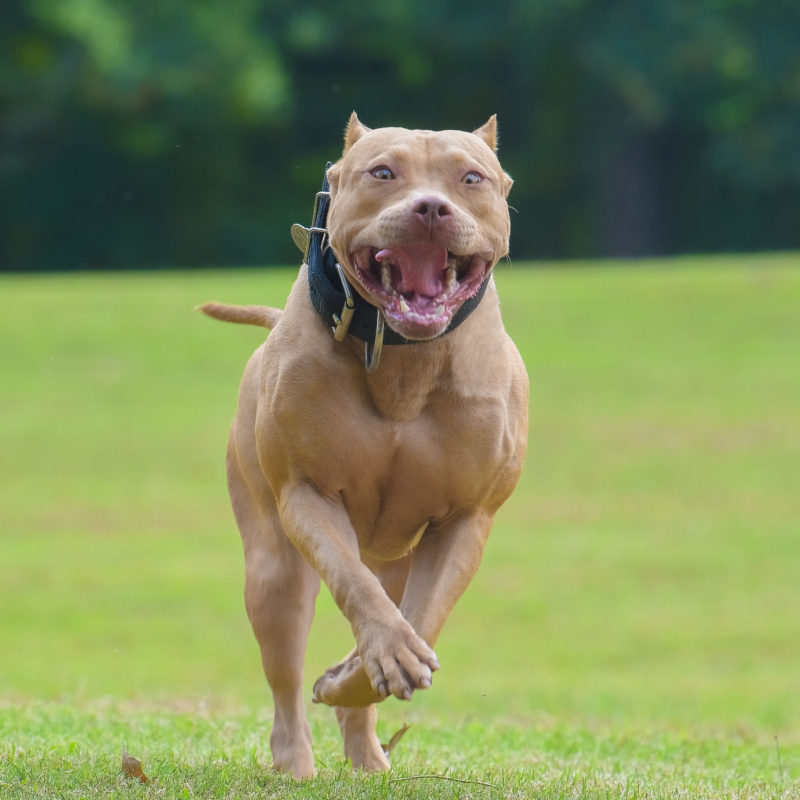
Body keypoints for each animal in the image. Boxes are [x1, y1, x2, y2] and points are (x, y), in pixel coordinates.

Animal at [200, 115, 528, 780]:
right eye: (383, 172)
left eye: (471, 177)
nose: (430, 208)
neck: (401, 353)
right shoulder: (307, 493)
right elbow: (353, 584)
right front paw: (374, 661)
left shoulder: (466, 518)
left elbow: (424, 616)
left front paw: (364, 671)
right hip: (271, 567)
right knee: (286, 671)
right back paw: (297, 761)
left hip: (396, 556)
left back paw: (366, 750)